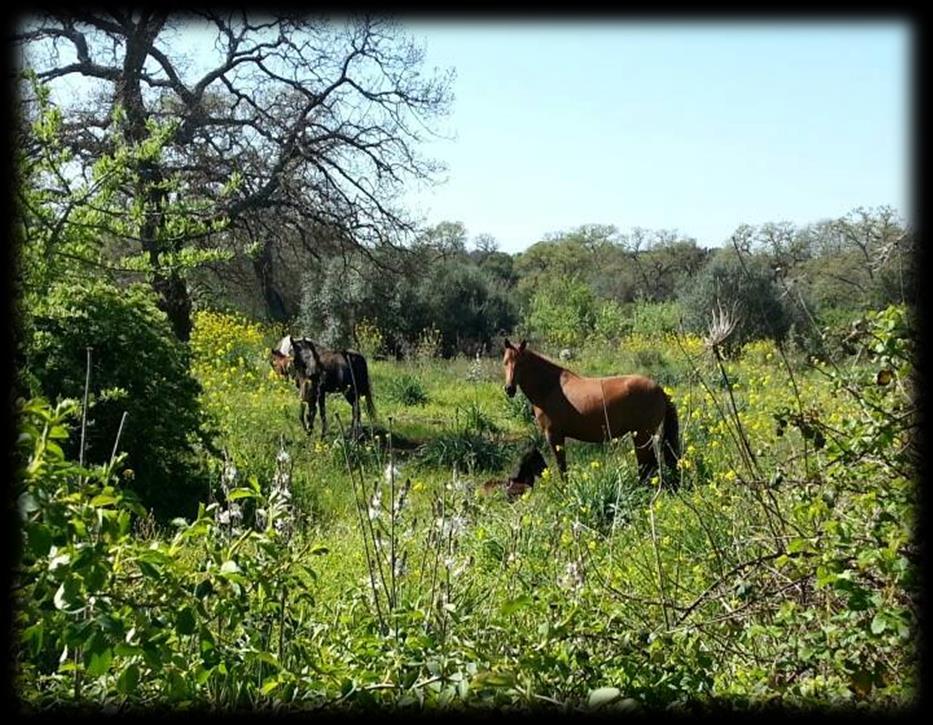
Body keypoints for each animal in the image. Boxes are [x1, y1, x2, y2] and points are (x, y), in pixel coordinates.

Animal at [502, 338, 676, 484]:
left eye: (521, 363)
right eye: (505, 363)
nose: (509, 389)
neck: (550, 387)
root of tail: (660, 389)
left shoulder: (554, 436)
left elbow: (562, 468)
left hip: (641, 436)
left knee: (649, 465)